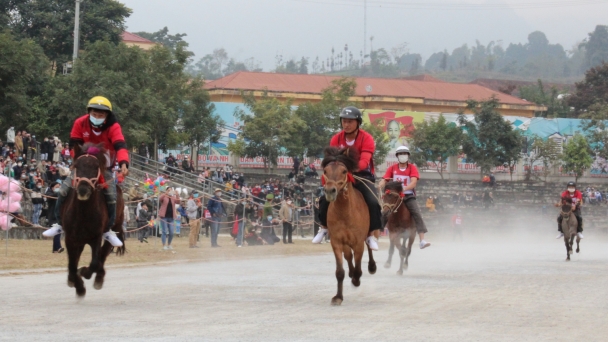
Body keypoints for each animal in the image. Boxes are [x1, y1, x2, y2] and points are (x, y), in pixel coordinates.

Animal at [62, 142, 125, 296]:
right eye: (76, 166)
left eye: (96, 167)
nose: (83, 189)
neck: (83, 213)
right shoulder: (70, 238)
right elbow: (72, 265)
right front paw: (77, 285)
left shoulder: (96, 237)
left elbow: (94, 262)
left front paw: (84, 273)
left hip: (115, 228)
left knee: (104, 252)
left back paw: (99, 278)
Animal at [324, 146, 376, 306]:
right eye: (325, 171)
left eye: (344, 171)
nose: (330, 191)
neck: (345, 212)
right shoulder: (336, 242)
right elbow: (340, 271)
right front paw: (338, 297)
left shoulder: (358, 242)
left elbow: (359, 266)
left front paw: (356, 279)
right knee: (348, 256)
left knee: (369, 246)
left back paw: (371, 267)